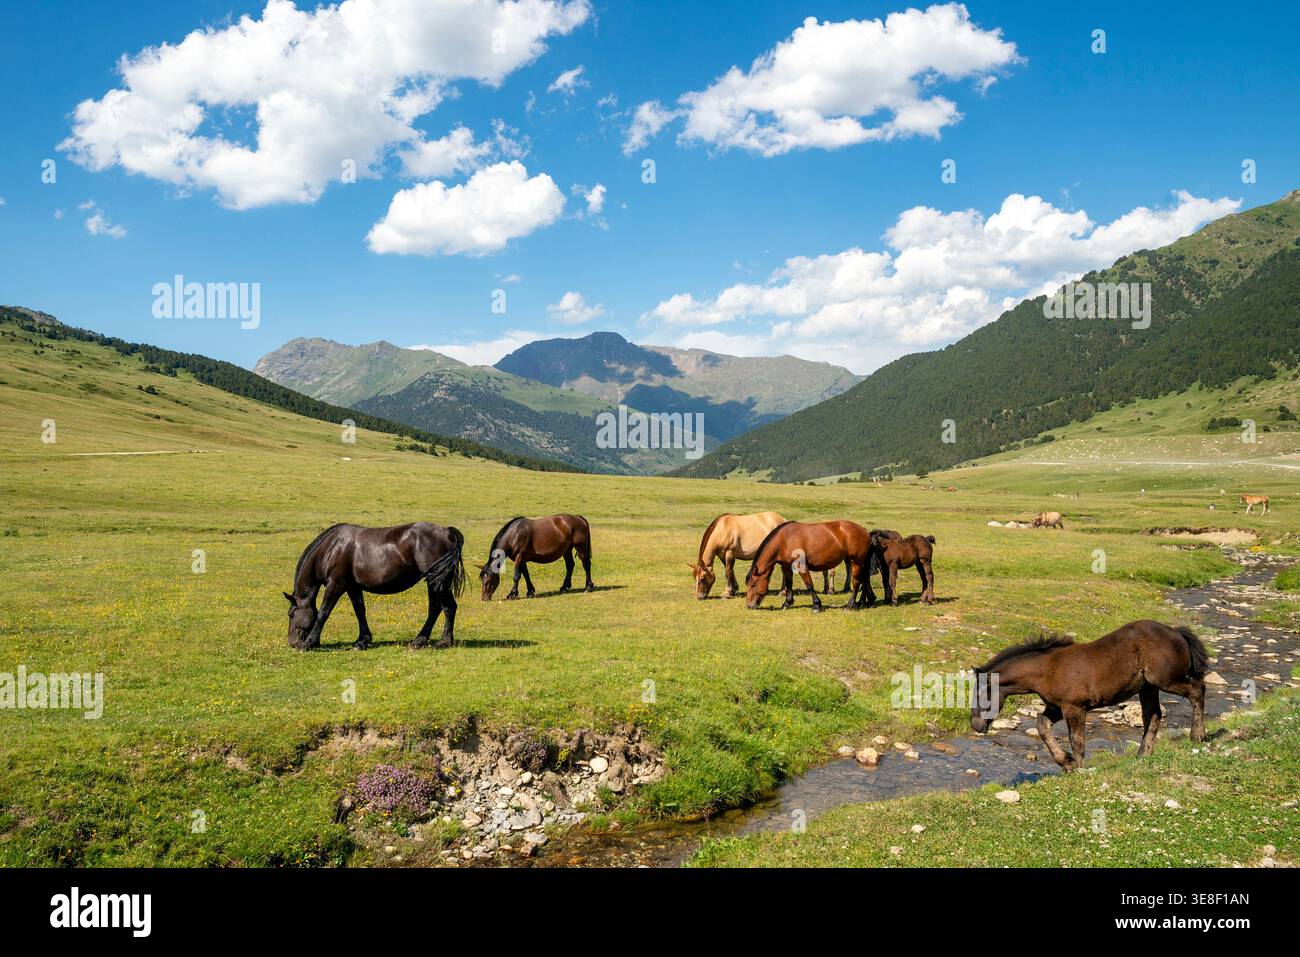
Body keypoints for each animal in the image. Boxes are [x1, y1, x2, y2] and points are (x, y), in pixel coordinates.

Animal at [284, 522, 465, 651]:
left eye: (291, 614)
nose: (292, 643)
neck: (332, 548)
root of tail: (447, 532)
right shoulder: (353, 587)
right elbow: (359, 611)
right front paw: (362, 640)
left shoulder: (336, 585)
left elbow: (323, 613)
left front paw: (309, 643)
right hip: (433, 581)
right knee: (435, 608)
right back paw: (419, 640)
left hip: (437, 581)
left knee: (449, 607)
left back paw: (444, 642)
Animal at [969, 620, 1207, 770]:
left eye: (981, 694)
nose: (975, 725)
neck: (1048, 670)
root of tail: (1176, 632)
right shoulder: (1056, 707)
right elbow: (1042, 726)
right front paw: (1066, 762)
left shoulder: (1074, 708)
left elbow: (1077, 740)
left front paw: (1080, 769)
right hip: (1148, 688)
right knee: (1153, 716)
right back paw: (1143, 755)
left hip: (1166, 680)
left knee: (1197, 691)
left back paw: (1198, 736)